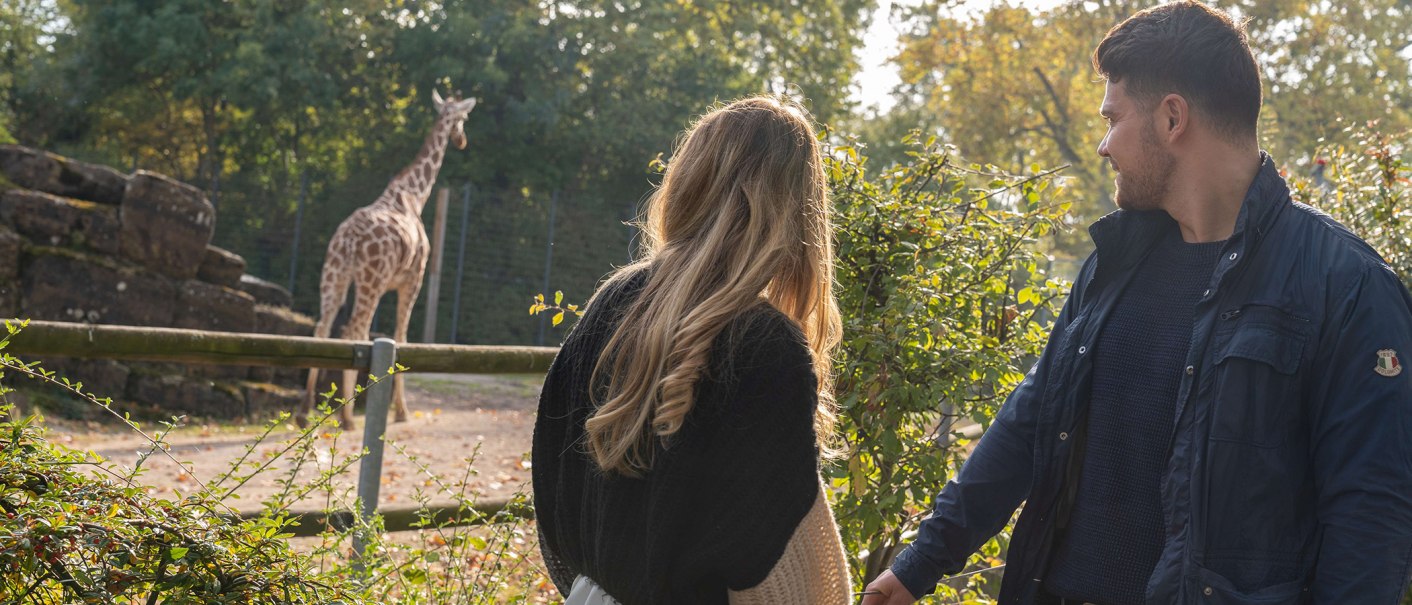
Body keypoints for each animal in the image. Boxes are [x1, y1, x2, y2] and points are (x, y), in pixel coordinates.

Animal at [297, 89, 480, 429]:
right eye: (464, 117)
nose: (462, 140)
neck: (415, 195)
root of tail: (349, 241)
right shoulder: (413, 280)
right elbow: (401, 337)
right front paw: (402, 411)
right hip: (371, 281)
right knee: (353, 331)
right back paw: (347, 417)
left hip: (334, 276)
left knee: (323, 328)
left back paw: (304, 412)